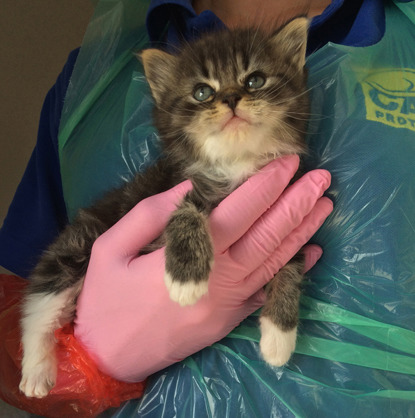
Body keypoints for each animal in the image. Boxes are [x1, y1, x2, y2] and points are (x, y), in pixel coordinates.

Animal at [21, 18, 310, 398]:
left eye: (255, 81)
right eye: (202, 93)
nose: (232, 97)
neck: (236, 164)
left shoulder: (288, 204)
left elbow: (290, 263)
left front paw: (279, 334)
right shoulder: (172, 189)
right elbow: (183, 213)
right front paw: (186, 279)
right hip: (79, 243)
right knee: (39, 304)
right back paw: (36, 372)